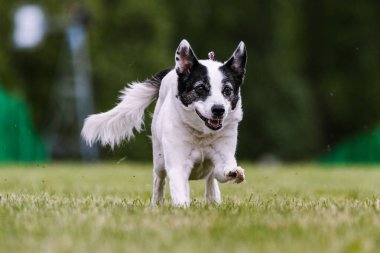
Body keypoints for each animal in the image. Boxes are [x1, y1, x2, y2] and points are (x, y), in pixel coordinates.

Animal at [82, 39, 248, 206]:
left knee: (210, 179)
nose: (219, 109)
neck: (202, 134)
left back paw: (213, 199)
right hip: (159, 158)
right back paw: (157, 203)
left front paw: (235, 173)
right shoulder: (177, 164)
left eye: (227, 90)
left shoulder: (222, 156)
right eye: (200, 88)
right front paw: (182, 207)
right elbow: (178, 188)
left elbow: (222, 172)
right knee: (159, 180)